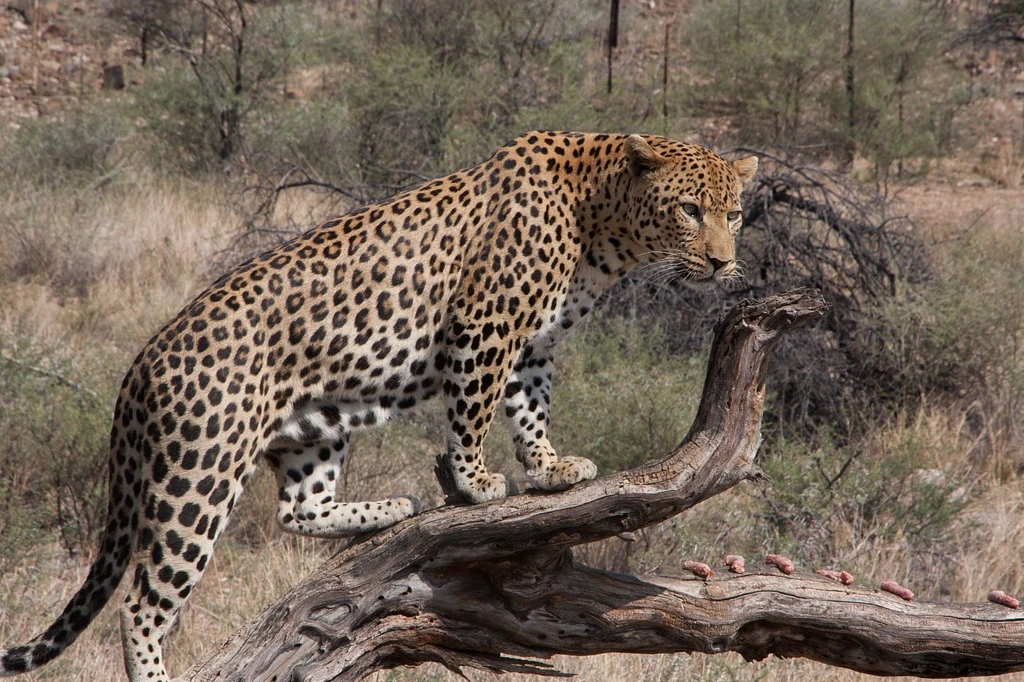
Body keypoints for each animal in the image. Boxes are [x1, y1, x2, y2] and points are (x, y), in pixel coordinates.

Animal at [0, 131, 757, 682]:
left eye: (735, 213)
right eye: (689, 210)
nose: (724, 263)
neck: (601, 223)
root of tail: (143, 360)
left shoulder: (532, 343)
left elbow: (529, 408)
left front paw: (548, 468)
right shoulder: (485, 324)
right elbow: (474, 407)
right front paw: (475, 482)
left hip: (313, 429)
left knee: (298, 509)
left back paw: (390, 508)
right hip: (198, 475)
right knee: (143, 604)